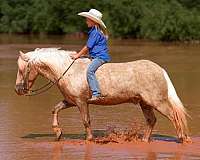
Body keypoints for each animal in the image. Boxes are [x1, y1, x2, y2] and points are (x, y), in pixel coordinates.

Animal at [15, 48, 191, 143]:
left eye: (22, 69)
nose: (18, 90)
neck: (66, 71)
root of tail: (159, 69)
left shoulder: (81, 102)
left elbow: (86, 121)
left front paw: (89, 139)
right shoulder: (70, 101)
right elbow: (55, 109)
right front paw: (58, 132)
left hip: (158, 102)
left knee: (174, 116)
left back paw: (182, 138)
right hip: (145, 103)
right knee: (151, 120)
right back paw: (144, 140)